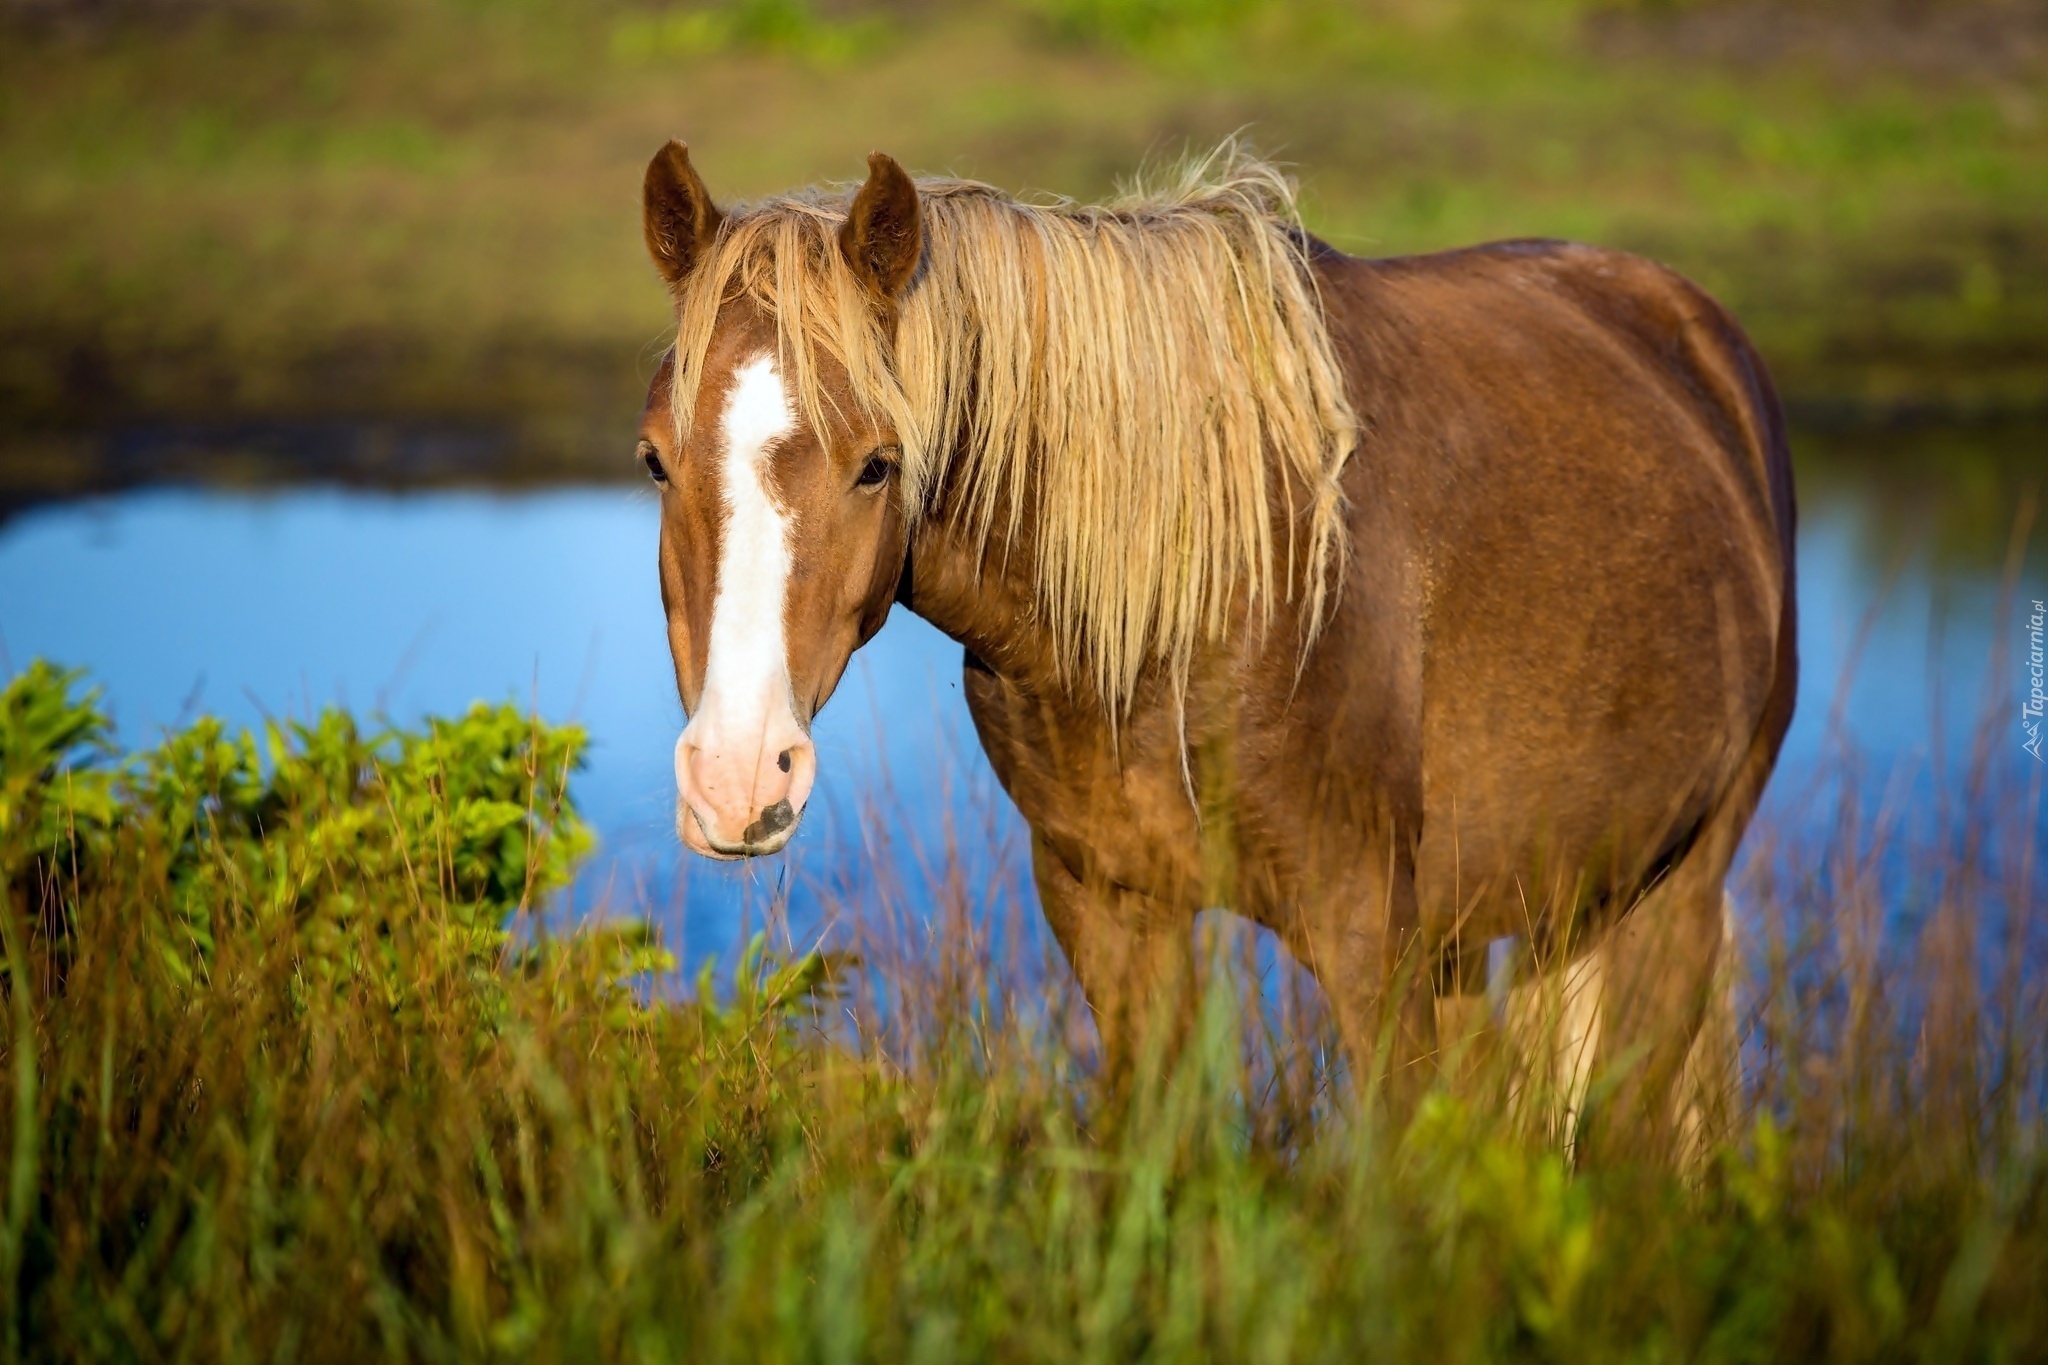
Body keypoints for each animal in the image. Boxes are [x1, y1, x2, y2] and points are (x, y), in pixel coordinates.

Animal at [634, 144, 1794, 1162]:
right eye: (654, 460)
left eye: (878, 464)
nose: (737, 778)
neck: (1191, 605)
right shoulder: (1111, 910)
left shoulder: (1366, 936)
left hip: (1674, 893)